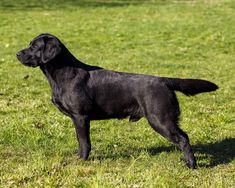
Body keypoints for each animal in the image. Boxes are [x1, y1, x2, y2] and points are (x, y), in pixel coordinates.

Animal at [17, 33, 218, 169]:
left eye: (34, 46)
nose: (17, 54)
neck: (64, 73)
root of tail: (163, 80)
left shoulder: (80, 117)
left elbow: (84, 142)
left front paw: (81, 160)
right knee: (183, 137)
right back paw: (185, 160)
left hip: (160, 119)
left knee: (183, 139)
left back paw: (191, 165)